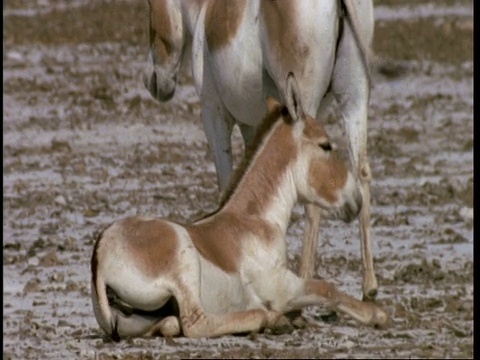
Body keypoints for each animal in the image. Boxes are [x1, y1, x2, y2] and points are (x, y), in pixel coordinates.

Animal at [91, 74, 390, 340]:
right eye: (326, 145)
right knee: (196, 323)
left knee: (170, 323)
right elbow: (328, 289)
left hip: (137, 317)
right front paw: (376, 314)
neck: (256, 219)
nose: (356, 201)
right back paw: (269, 319)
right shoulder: (282, 286)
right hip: (184, 257)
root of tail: (100, 259)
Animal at [143, 0, 378, 298]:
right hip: (355, 97)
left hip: (304, 101)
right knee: (362, 173)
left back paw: (303, 278)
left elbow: (227, 184)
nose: (153, 82)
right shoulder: (253, 125)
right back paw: (369, 287)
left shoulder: (213, 114)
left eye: (149, 5)